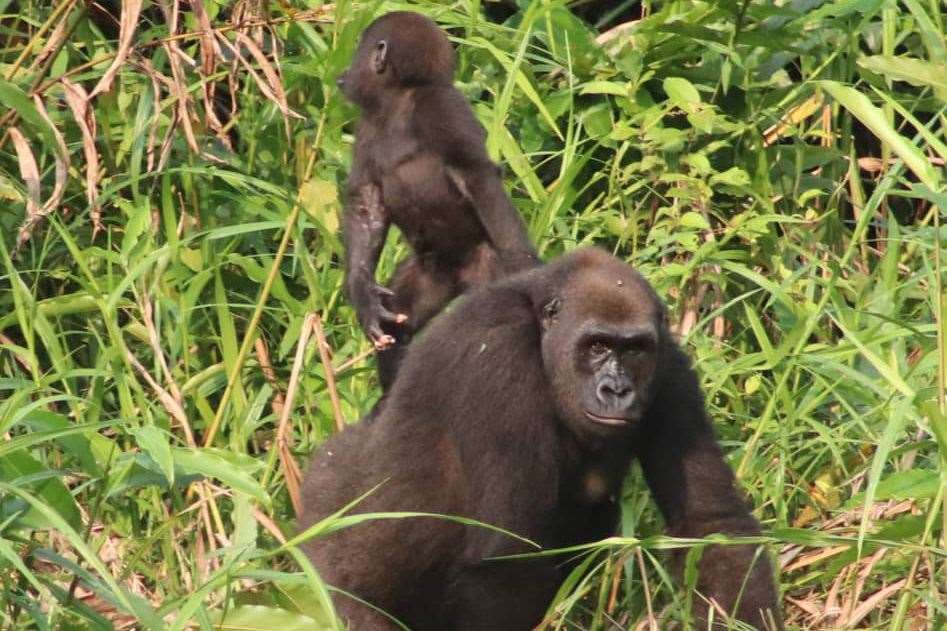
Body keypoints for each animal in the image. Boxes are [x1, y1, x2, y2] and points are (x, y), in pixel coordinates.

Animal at [300, 249, 780, 628]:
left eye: (634, 350)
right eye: (596, 346)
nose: (617, 390)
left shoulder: (671, 368)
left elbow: (712, 524)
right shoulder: (501, 355)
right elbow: (508, 559)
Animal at [336, 11, 536, 390]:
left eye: (358, 50)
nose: (343, 74)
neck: (400, 98)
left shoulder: (442, 106)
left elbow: (476, 175)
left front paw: (528, 268)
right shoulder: (367, 126)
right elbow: (366, 202)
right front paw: (361, 291)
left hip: (486, 270)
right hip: (430, 275)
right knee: (401, 324)